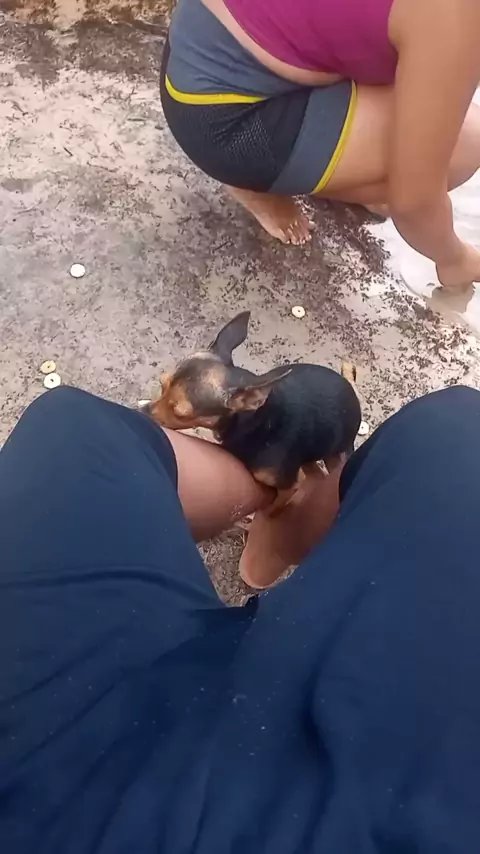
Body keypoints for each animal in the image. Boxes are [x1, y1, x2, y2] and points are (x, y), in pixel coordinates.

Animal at [147, 311, 361, 512]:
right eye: (161, 385)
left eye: (179, 413)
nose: (142, 410)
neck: (258, 419)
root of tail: (351, 391)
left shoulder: (288, 487)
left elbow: (271, 509)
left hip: (336, 457)